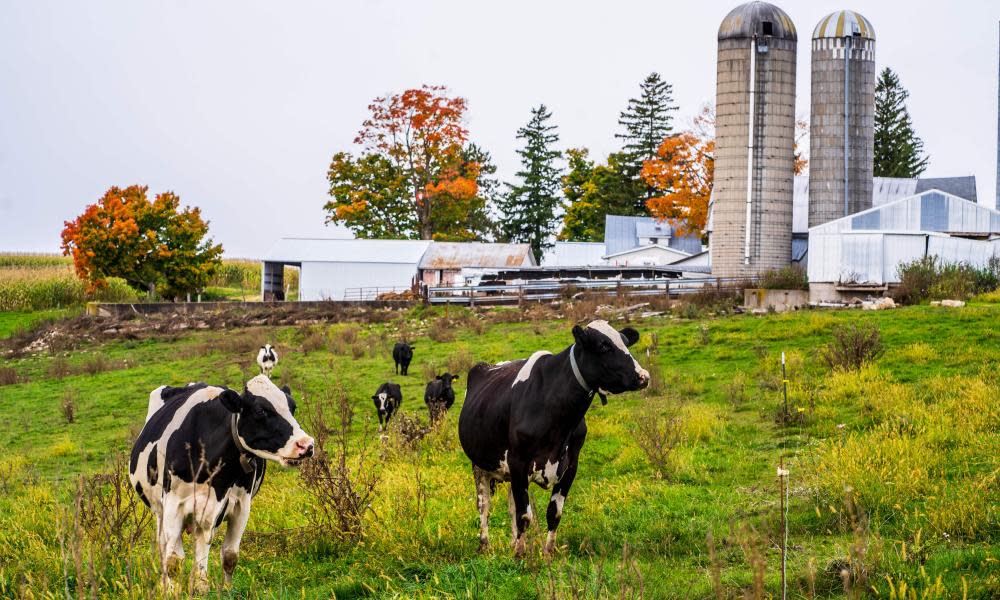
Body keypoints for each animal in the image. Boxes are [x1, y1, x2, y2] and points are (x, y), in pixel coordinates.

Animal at [128, 376, 312, 592]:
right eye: (260, 411)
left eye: (292, 407)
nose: (306, 445)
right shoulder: (174, 505)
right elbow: (173, 560)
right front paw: (173, 592)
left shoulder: (239, 505)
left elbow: (229, 554)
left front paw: (221, 589)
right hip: (159, 510)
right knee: (164, 547)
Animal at [458, 322, 648, 556]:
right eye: (604, 346)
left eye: (625, 342)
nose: (643, 376)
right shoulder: (518, 461)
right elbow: (524, 514)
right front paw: (519, 555)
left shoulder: (571, 465)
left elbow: (553, 513)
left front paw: (547, 553)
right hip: (479, 464)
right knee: (484, 504)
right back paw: (484, 544)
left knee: (510, 504)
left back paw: (512, 542)